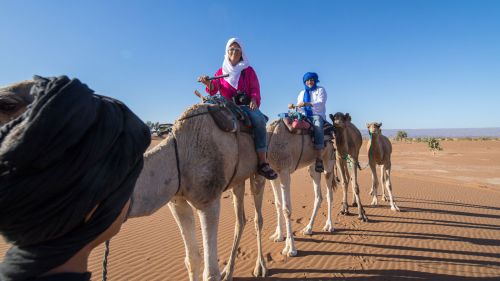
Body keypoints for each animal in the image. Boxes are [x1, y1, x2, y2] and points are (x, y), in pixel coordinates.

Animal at [266, 118, 336, 256]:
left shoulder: (284, 171)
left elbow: (287, 209)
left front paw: (290, 249)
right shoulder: (274, 173)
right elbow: (278, 204)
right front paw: (278, 236)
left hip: (328, 162)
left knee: (329, 194)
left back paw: (329, 226)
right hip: (313, 167)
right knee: (318, 196)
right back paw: (308, 228)